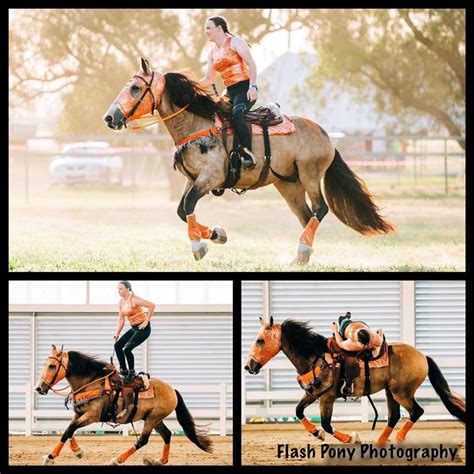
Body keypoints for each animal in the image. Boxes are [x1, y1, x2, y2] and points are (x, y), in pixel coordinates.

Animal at [36, 346, 213, 464]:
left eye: (52, 366)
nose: (39, 388)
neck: (92, 383)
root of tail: (172, 390)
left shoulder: (92, 416)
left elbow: (69, 429)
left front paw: (54, 456)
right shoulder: (78, 414)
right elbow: (68, 430)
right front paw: (73, 453)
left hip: (152, 419)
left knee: (142, 441)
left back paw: (116, 460)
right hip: (155, 419)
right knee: (167, 435)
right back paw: (159, 461)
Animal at [104, 58, 396, 262]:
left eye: (135, 88)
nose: (109, 117)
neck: (198, 124)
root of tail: (326, 136)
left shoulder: (210, 179)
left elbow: (187, 207)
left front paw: (199, 246)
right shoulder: (193, 179)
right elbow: (181, 210)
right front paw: (217, 235)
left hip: (310, 174)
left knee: (320, 209)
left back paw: (303, 249)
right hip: (288, 184)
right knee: (306, 215)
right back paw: (301, 254)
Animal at [246, 318, 464, 444]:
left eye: (260, 340)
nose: (249, 366)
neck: (316, 357)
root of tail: (423, 356)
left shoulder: (327, 398)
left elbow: (327, 424)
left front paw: (352, 438)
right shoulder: (313, 394)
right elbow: (298, 411)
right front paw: (317, 433)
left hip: (402, 392)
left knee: (416, 411)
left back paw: (398, 438)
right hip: (390, 392)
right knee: (394, 416)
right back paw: (380, 444)